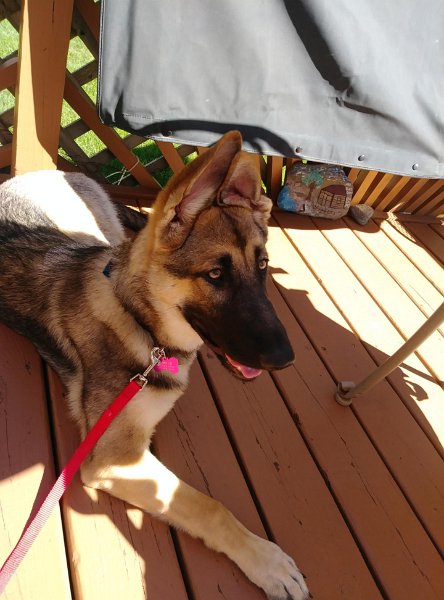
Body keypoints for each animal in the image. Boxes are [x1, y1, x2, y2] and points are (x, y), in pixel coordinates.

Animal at [0, 132, 308, 600]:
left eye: (263, 266)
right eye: (214, 275)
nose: (285, 359)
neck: (143, 325)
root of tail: (46, 171)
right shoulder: (114, 457)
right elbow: (207, 506)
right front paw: (266, 562)